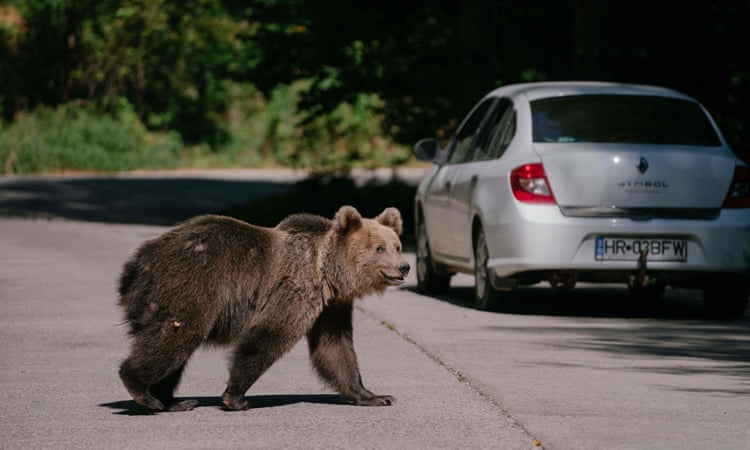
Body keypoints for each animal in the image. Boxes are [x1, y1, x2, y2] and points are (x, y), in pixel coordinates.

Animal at [117, 207, 412, 412]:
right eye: (379, 248)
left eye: (397, 246)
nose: (404, 266)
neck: (327, 273)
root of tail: (136, 264)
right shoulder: (295, 289)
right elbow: (269, 335)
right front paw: (235, 397)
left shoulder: (330, 307)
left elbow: (335, 348)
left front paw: (375, 396)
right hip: (190, 285)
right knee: (175, 337)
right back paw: (143, 391)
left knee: (176, 347)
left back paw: (172, 401)